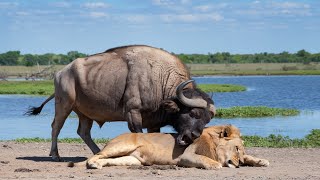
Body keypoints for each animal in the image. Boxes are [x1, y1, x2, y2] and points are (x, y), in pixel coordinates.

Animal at [26, 44, 216, 160]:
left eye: (207, 119)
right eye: (193, 113)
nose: (194, 136)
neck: (160, 78)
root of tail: (61, 72)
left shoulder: (153, 122)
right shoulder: (133, 113)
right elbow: (138, 134)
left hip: (85, 113)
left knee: (83, 132)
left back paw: (98, 152)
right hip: (64, 105)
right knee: (56, 127)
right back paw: (55, 155)